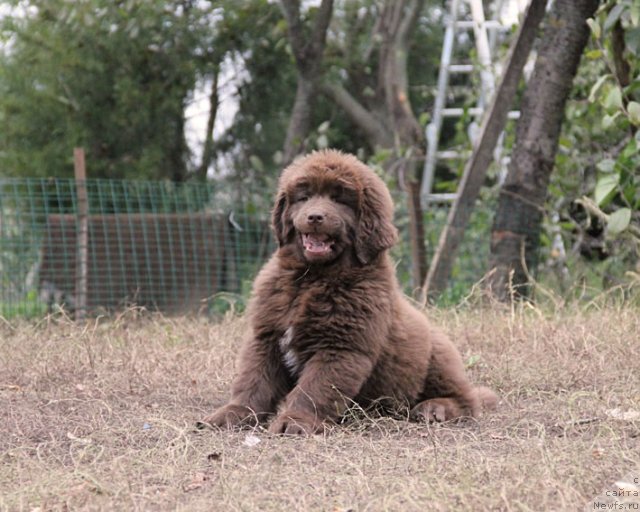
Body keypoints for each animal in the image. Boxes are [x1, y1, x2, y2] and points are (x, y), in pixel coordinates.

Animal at [200, 150, 496, 434]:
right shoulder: (266, 336)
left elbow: (314, 388)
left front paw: (295, 421)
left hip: (438, 354)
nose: (315, 217)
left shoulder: (341, 346)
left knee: (467, 400)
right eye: (304, 197)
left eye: (340, 200)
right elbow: (253, 381)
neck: (311, 278)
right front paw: (232, 414)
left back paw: (434, 408)